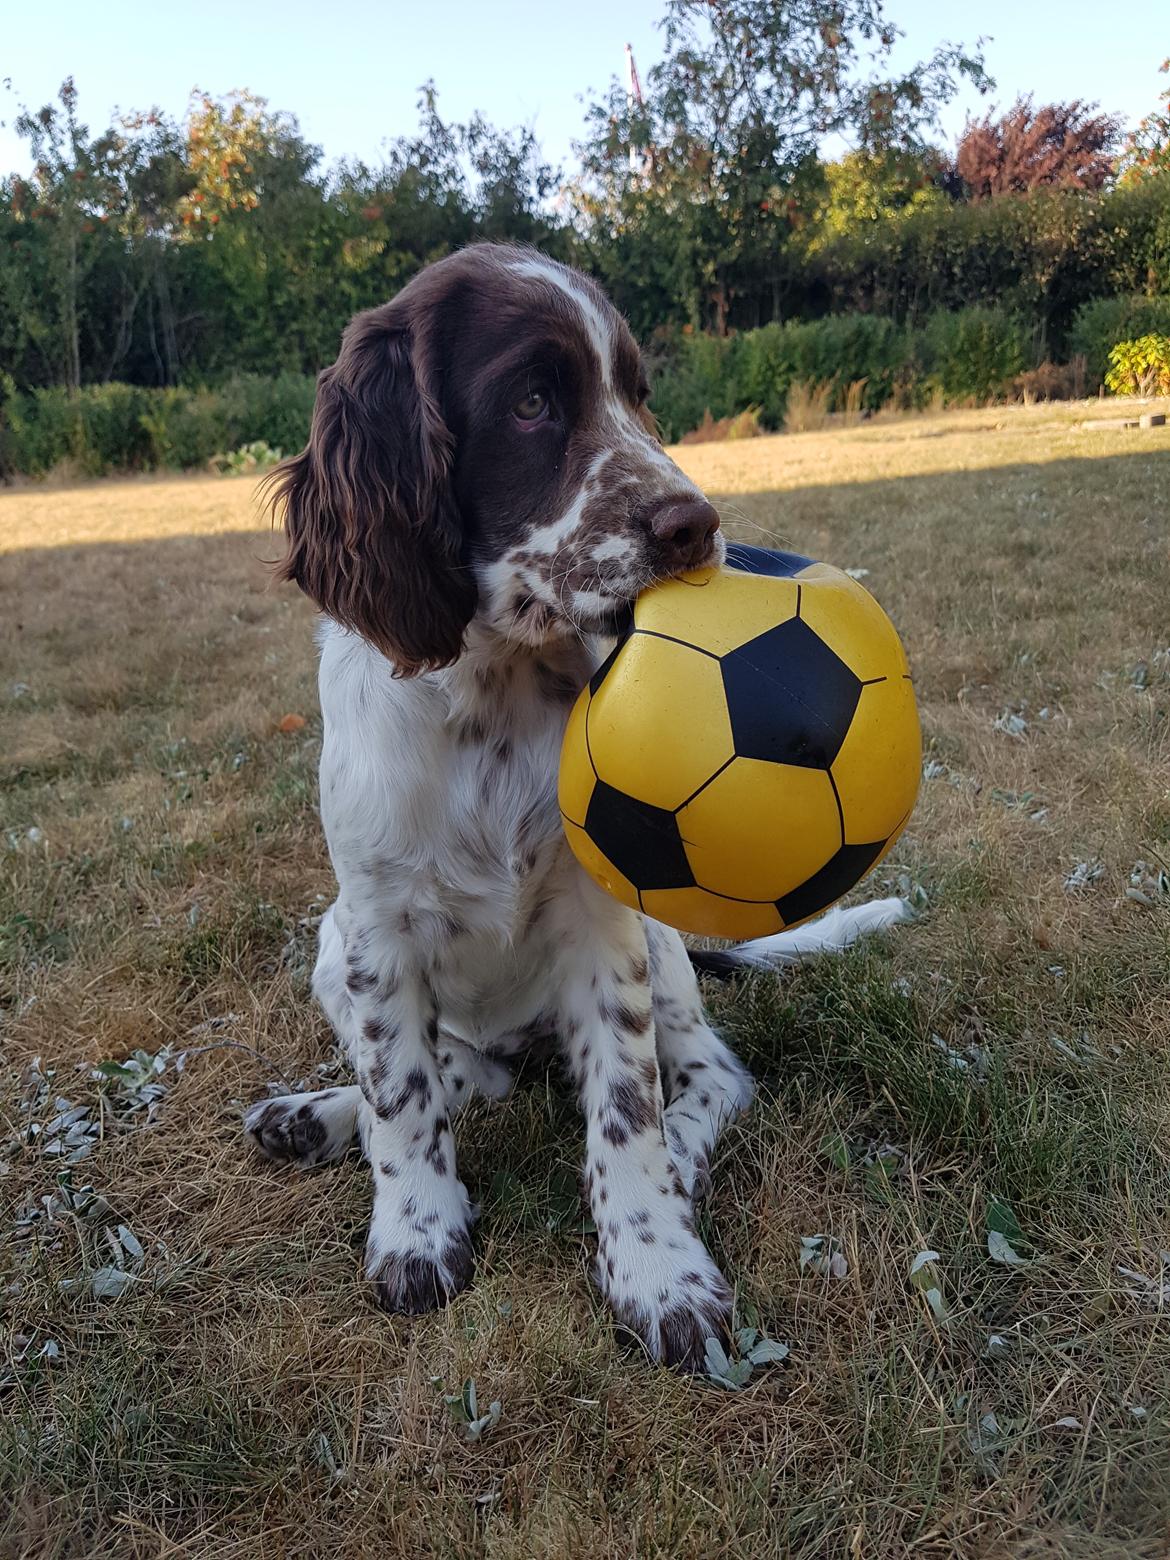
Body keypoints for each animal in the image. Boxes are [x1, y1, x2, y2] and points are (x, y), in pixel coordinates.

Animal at [244, 240, 904, 1366]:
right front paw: (415, 1233)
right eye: (531, 401)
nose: (698, 525)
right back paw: (315, 1117)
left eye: (638, 394)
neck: (492, 692)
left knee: (708, 1075)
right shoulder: (376, 926)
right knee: (463, 1077)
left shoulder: (606, 923)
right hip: (332, 947)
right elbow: (401, 1094)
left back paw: (682, 1155)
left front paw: (657, 1268)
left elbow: (627, 1109)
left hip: (664, 949)